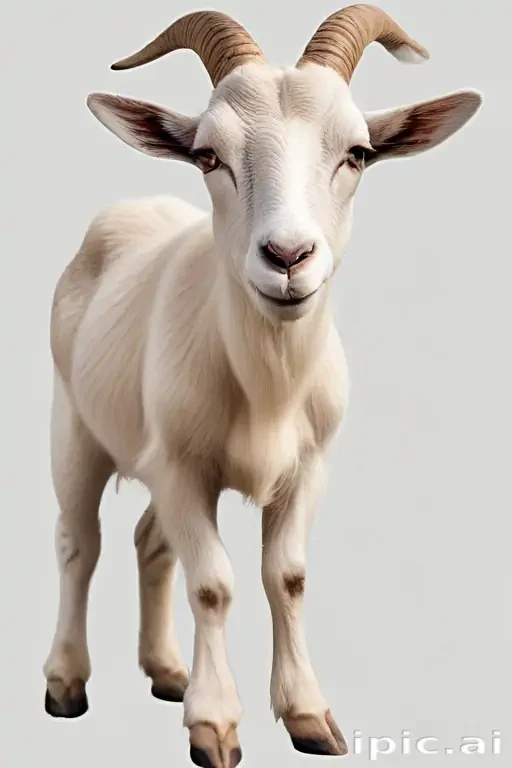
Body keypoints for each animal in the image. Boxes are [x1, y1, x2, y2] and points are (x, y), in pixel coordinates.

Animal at [43, 6, 481, 766]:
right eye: (208, 156)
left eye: (358, 153)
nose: (288, 256)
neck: (266, 387)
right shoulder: (182, 467)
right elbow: (213, 584)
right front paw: (215, 725)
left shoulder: (303, 466)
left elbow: (288, 577)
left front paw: (308, 716)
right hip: (73, 423)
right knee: (79, 542)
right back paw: (66, 683)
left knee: (149, 542)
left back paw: (167, 672)